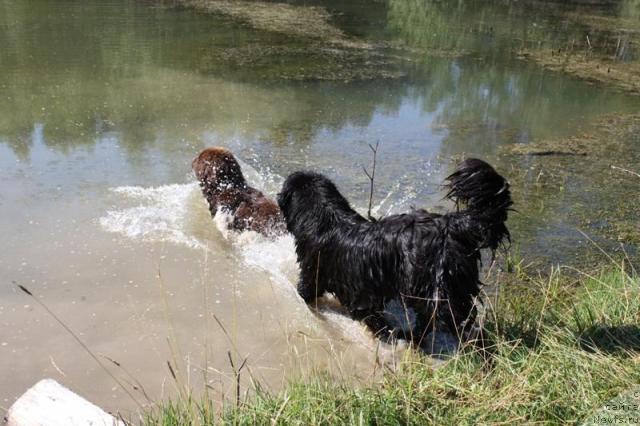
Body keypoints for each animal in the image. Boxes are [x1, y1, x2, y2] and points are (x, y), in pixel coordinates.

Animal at [278, 159, 512, 342]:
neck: (327, 219)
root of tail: (451, 224)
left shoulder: (314, 271)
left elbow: (307, 291)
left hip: (437, 288)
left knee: (451, 318)